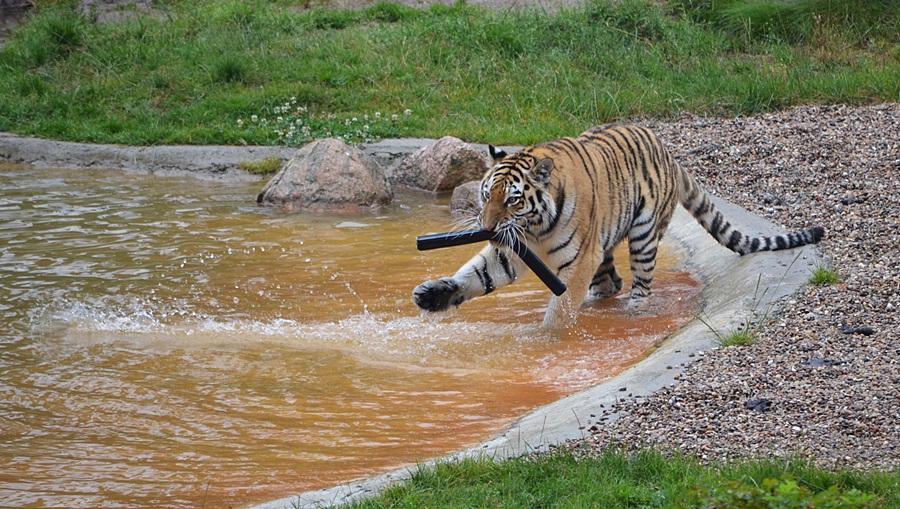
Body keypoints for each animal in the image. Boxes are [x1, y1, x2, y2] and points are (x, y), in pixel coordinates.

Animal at [412, 123, 828, 330]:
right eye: (486, 196)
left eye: (512, 200)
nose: (486, 226)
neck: (534, 227)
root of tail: (668, 152)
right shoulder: (514, 249)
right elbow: (476, 275)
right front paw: (433, 295)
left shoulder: (577, 259)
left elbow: (559, 310)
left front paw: (546, 339)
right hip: (605, 246)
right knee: (610, 282)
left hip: (641, 236)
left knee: (640, 284)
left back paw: (633, 312)